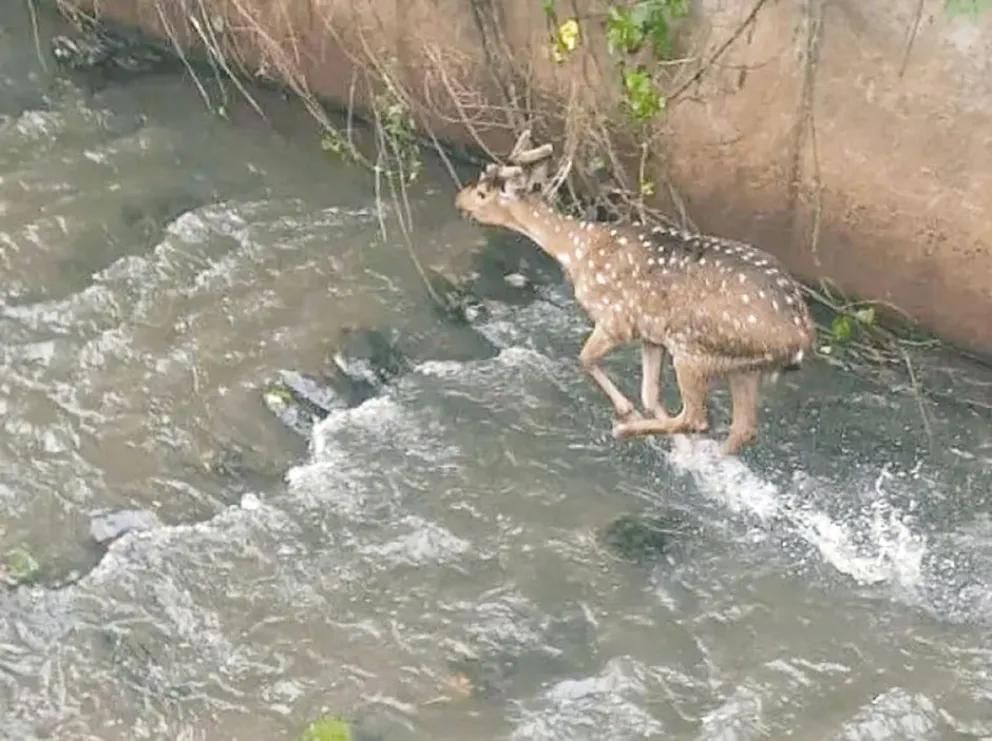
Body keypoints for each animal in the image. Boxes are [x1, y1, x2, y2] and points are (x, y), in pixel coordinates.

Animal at [454, 129, 816, 455]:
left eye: (483, 193)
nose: (459, 199)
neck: (576, 249)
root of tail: (801, 335)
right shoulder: (650, 335)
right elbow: (649, 393)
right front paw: (659, 428)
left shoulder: (617, 319)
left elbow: (585, 359)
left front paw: (626, 412)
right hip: (743, 369)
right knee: (742, 429)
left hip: (693, 349)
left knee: (699, 418)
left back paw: (627, 431)